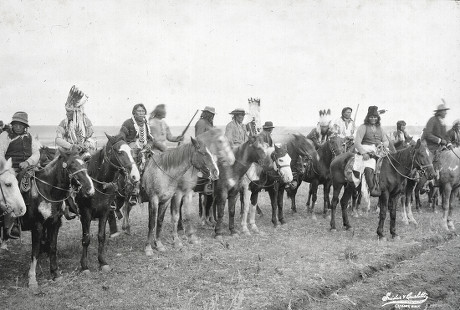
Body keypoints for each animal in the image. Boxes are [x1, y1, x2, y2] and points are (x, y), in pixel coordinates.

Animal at [75, 134, 139, 272]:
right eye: (119, 152)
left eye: (131, 151)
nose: (135, 176)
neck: (96, 184)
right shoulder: (85, 213)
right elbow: (86, 239)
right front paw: (84, 266)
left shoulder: (104, 212)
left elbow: (101, 236)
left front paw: (102, 262)